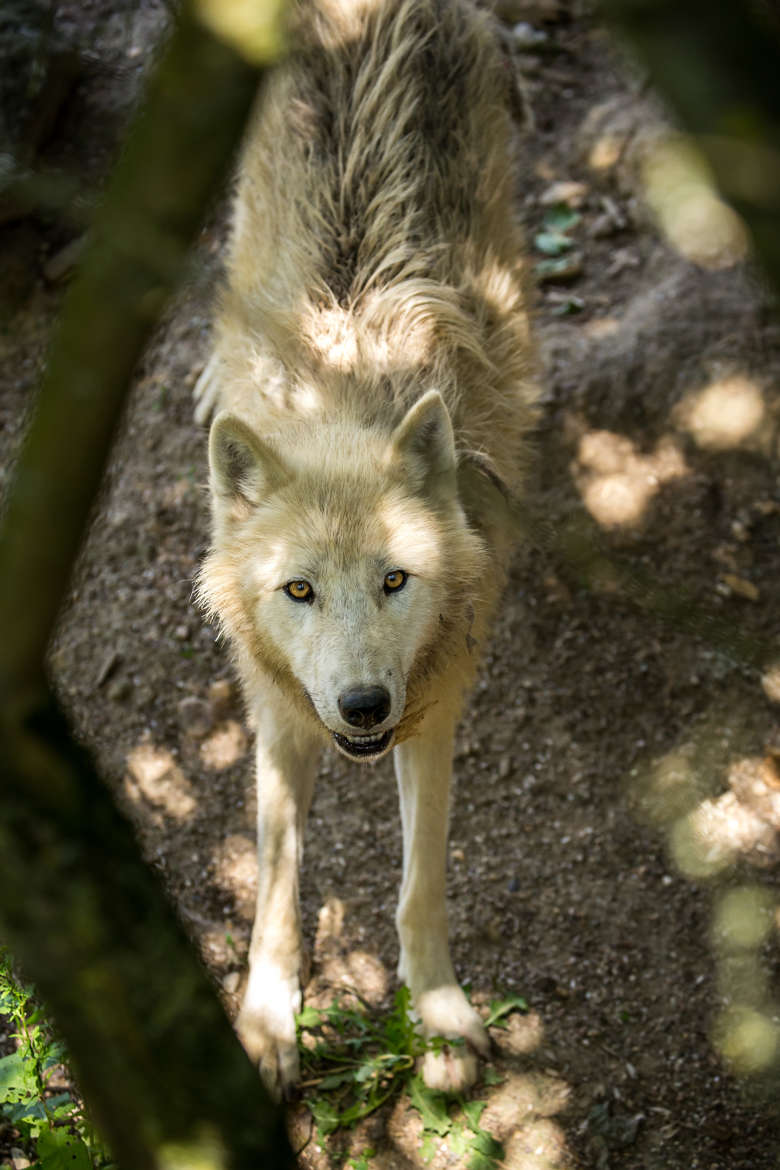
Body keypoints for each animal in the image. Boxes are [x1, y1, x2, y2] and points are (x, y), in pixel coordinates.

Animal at [196, 0, 537, 1095]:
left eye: (396, 580)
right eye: (298, 591)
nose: (359, 706)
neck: (341, 396)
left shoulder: (434, 712)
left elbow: (421, 879)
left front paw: (439, 1012)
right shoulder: (276, 719)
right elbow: (274, 883)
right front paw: (266, 1023)